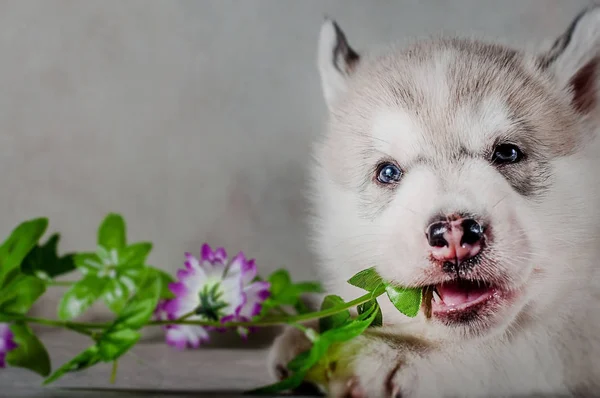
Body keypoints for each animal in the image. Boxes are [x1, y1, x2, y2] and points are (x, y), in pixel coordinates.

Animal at [270, 6, 600, 398]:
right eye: (388, 172)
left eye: (507, 153)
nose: (455, 234)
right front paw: (308, 330)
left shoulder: (573, 339)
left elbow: (509, 351)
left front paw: (392, 353)